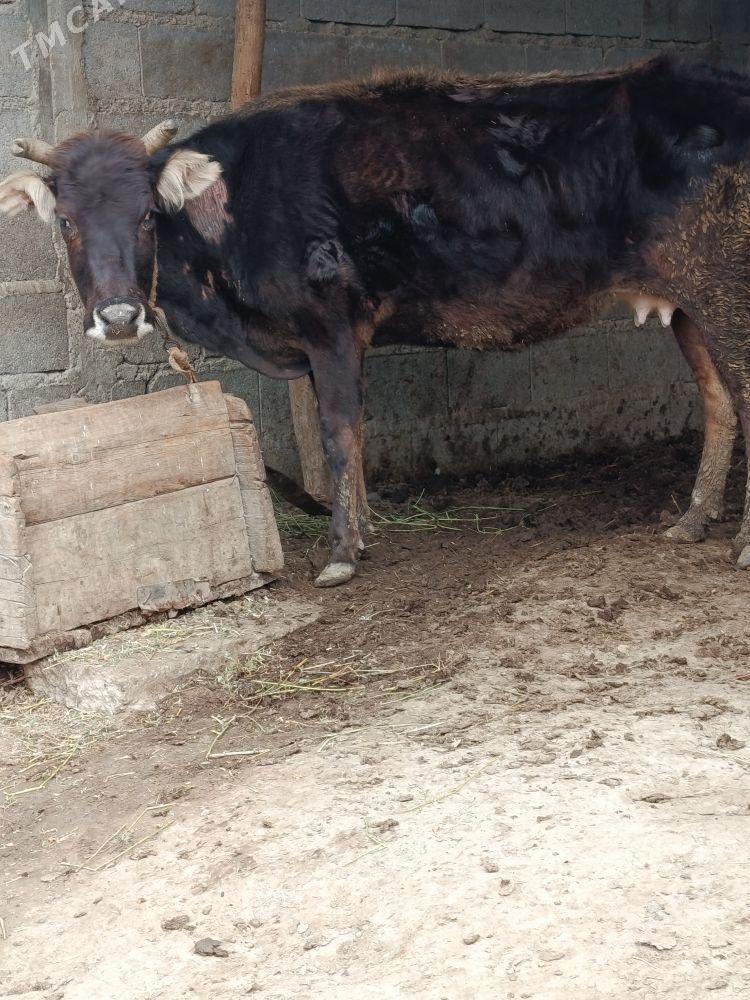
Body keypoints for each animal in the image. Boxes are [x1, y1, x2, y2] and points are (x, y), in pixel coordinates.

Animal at [1, 55, 750, 587]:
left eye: (146, 216)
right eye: (66, 221)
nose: (120, 315)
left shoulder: (330, 323)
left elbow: (339, 433)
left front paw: (342, 552)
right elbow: (350, 437)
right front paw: (362, 529)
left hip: (726, 289)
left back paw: (737, 544)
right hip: (691, 301)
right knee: (719, 399)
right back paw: (691, 521)